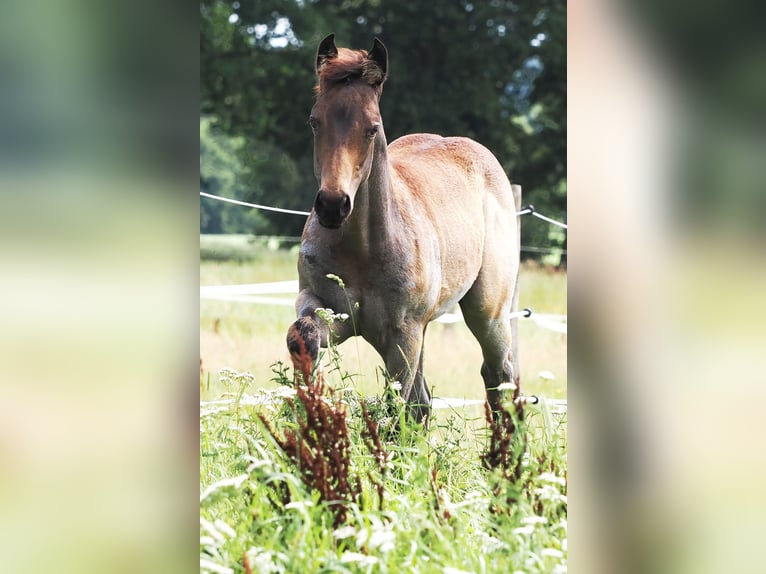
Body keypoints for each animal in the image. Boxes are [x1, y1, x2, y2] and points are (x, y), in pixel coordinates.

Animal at [287, 34, 520, 424]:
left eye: (372, 128)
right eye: (313, 121)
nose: (333, 205)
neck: (364, 248)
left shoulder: (402, 335)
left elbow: (397, 412)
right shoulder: (330, 311)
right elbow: (302, 335)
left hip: (488, 314)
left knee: (500, 376)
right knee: (427, 400)